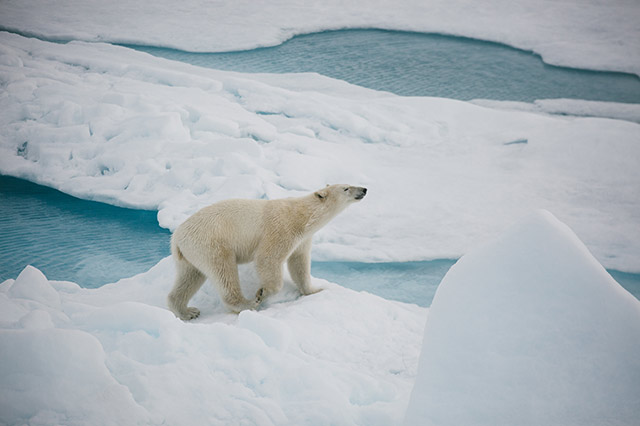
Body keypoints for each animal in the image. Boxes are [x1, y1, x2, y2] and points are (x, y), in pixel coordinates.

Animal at [168, 183, 368, 320]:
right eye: (346, 188)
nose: (364, 189)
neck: (302, 215)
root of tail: (177, 237)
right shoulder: (282, 228)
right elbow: (268, 258)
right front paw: (262, 292)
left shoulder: (302, 240)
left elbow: (299, 264)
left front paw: (314, 290)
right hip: (211, 242)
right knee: (223, 271)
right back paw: (247, 303)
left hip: (190, 253)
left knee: (190, 277)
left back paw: (187, 311)